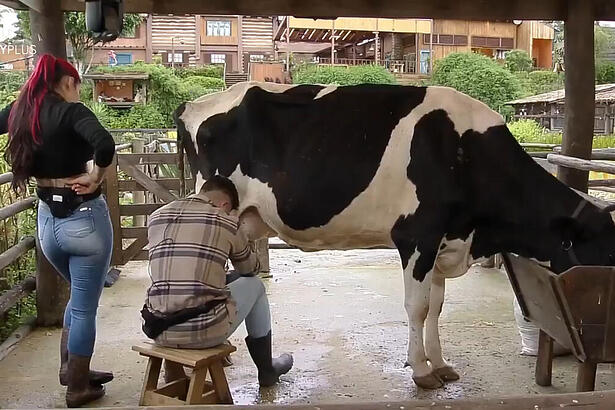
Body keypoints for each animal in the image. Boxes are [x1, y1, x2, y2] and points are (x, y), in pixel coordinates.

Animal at [174, 82, 615, 388]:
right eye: (604, 253)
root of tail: (195, 103)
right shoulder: (417, 235)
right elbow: (417, 307)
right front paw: (421, 371)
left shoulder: (443, 242)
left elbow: (436, 307)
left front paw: (441, 364)